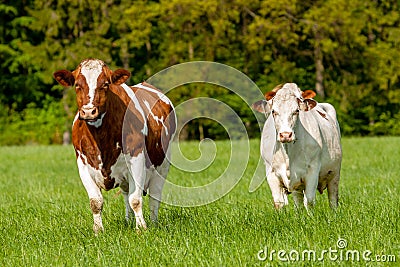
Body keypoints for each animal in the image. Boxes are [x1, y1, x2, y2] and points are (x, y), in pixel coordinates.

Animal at [54, 58, 176, 232]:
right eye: (77, 84)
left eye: (105, 84)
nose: (89, 111)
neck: (101, 139)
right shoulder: (82, 164)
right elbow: (95, 201)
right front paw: (98, 230)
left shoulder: (136, 159)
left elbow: (135, 199)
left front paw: (141, 229)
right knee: (126, 193)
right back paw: (128, 221)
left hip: (162, 165)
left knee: (155, 195)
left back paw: (153, 222)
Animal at [253, 82, 340, 210]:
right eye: (274, 111)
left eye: (296, 111)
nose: (285, 134)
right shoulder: (271, 172)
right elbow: (279, 202)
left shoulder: (313, 170)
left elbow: (309, 201)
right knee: (298, 201)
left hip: (335, 174)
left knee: (333, 198)